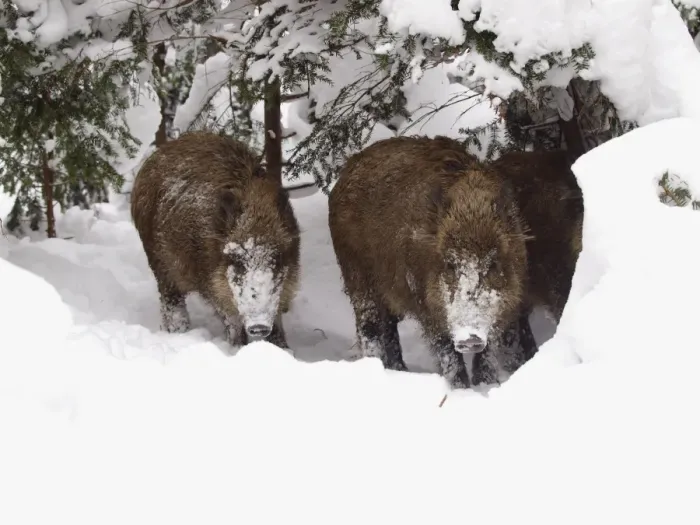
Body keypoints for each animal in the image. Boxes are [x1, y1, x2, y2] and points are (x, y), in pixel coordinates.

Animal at [130, 131, 300, 349]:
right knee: (171, 302)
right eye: (237, 261)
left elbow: (277, 322)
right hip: (159, 264)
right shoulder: (211, 284)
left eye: (276, 258)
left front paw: (284, 350)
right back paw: (177, 332)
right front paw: (237, 348)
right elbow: (231, 320)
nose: (259, 326)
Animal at [328, 135, 530, 389]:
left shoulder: (506, 305)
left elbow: (488, 351)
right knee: (369, 327)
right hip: (357, 278)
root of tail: (346, 169)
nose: (469, 339)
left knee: (389, 326)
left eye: (492, 264)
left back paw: (400, 370)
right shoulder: (427, 305)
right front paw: (461, 389)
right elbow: (447, 352)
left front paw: (486, 385)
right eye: (450, 264)